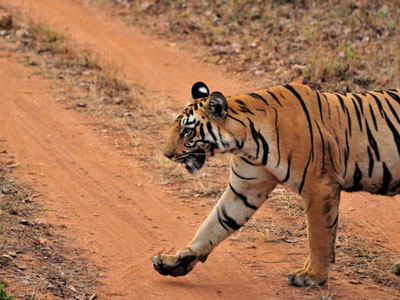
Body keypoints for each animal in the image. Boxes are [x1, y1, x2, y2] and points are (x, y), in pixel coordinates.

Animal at [152, 81, 398, 286]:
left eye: (187, 131)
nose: (166, 154)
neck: (245, 142)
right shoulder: (246, 188)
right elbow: (215, 224)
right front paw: (175, 262)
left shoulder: (320, 186)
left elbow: (318, 237)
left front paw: (312, 277)